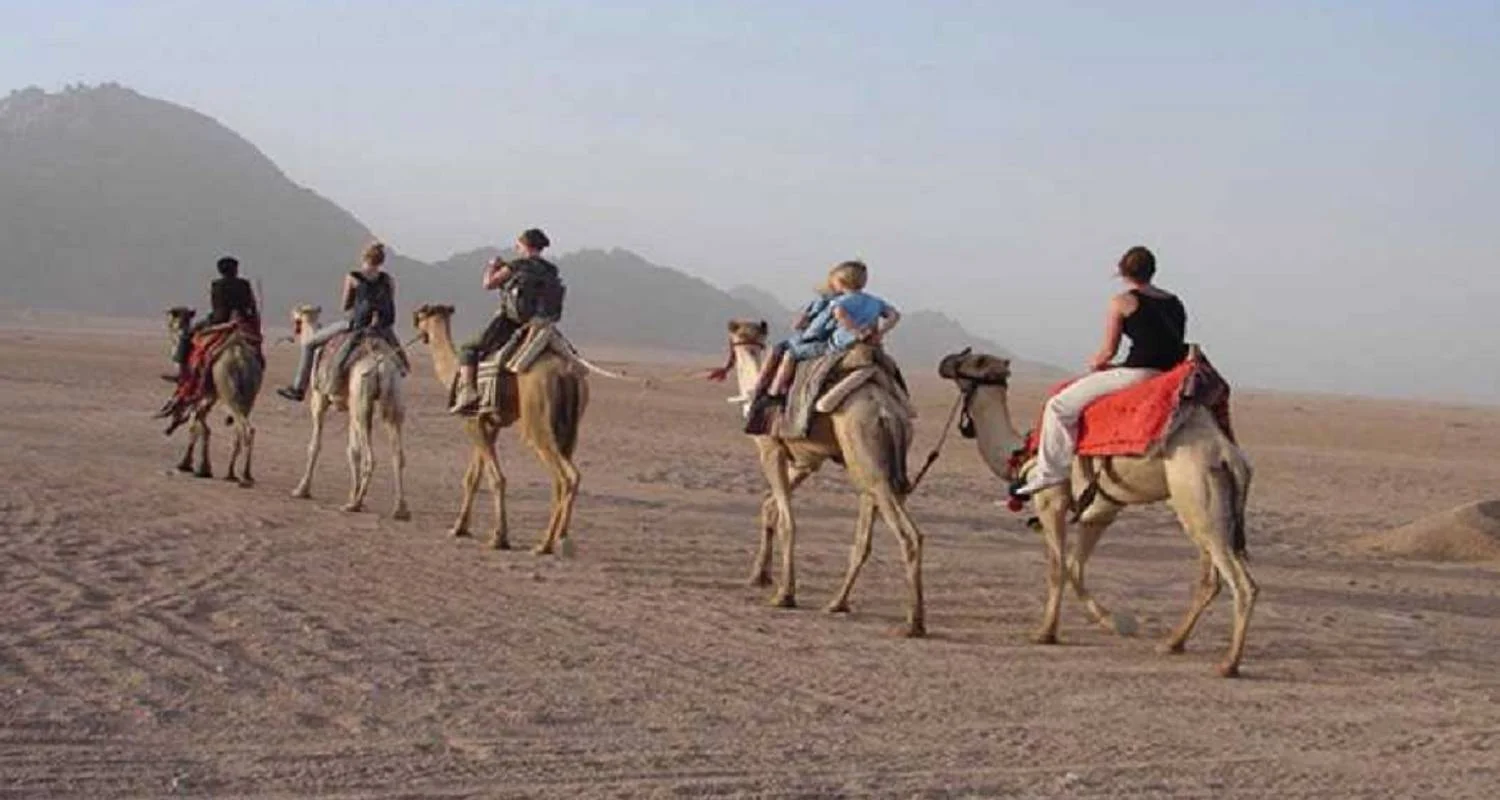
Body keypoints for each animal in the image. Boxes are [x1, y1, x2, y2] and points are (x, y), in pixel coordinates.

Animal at [164, 308, 262, 486]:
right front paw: (203, 468)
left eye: (171, 320)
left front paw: (188, 465)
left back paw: (241, 475)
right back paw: (238, 473)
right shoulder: (208, 396)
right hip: (249, 395)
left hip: (227, 390)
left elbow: (195, 425)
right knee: (242, 428)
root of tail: (240, 359)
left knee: (245, 428)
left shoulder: (198, 391)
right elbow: (202, 425)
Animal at [287, 305, 410, 520]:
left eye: (298, 315)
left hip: (361, 397)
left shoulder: (319, 398)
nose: (293, 319)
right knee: (398, 453)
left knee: (371, 457)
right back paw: (400, 509)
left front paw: (302, 490)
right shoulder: (351, 408)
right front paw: (352, 494)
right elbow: (353, 451)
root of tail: (381, 364)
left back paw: (355, 504)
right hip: (391, 396)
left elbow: (315, 445)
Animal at [409, 305, 587, 555]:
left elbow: (496, 478)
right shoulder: (488, 424)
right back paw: (556, 540)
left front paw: (498, 538)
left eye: (420, 315)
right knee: (563, 478)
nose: (417, 326)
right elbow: (473, 477)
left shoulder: (472, 422)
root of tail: (565, 373)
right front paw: (459, 528)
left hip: (537, 422)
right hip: (568, 429)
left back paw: (546, 544)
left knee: (565, 476)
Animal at [721, 320, 927, 637]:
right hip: (883, 465)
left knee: (908, 534)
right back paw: (838, 603)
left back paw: (912, 623)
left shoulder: (770, 451)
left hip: (866, 456)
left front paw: (784, 595)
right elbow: (769, 507)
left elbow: (787, 520)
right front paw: (759, 576)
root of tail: (887, 413)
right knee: (866, 535)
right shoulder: (807, 461)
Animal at [937, 349, 1258, 677]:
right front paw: (1115, 622)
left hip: (1196, 495)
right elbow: (1075, 567)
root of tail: (1229, 456)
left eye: (976, 361)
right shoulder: (1101, 511)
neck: (1020, 452)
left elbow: (1057, 567)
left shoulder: (1051, 500)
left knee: (1244, 585)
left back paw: (1228, 663)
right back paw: (1172, 643)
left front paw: (1046, 633)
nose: (946, 360)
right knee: (1209, 580)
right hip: (1200, 507)